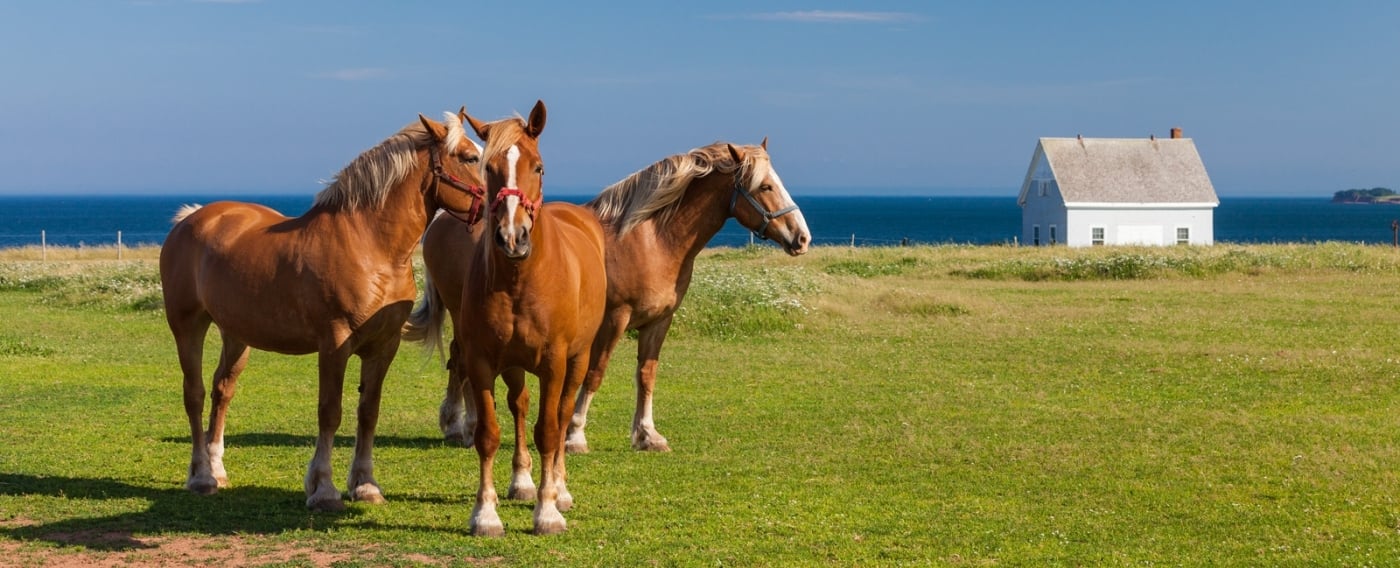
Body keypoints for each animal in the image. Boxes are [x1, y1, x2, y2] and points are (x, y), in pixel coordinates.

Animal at [159, 110, 486, 512]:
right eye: (470, 157)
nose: (510, 206)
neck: (370, 246)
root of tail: (190, 219)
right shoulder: (334, 345)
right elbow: (330, 412)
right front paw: (324, 489)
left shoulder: (383, 347)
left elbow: (368, 412)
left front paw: (365, 485)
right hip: (187, 326)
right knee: (195, 393)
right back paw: (202, 476)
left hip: (236, 335)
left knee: (223, 391)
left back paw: (217, 469)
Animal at [405, 139, 809, 467]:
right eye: (766, 186)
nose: (802, 237)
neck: (649, 238)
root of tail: (443, 220)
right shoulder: (616, 318)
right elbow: (596, 373)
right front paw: (575, 434)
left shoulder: (659, 320)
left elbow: (647, 375)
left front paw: (647, 435)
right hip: (464, 315)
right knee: (461, 361)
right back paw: (462, 425)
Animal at [453, 101, 607, 536]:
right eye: (487, 167)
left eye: (538, 167)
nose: (512, 237)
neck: (519, 280)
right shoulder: (482, 361)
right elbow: (489, 433)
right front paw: (485, 513)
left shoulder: (555, 363)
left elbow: (550, 431)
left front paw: (548, 510)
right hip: (515, 366)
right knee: (519, 407)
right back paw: (522, 481)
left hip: (578, 359)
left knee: (562, 415)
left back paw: (560, 489)